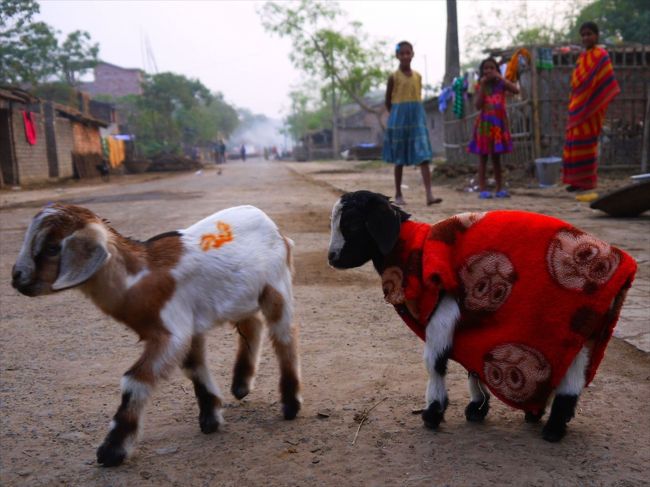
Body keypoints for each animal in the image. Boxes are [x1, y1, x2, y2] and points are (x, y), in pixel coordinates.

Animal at [12, 203, 302, 468]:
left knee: (284, 335)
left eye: (52, 248)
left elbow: (135, 380)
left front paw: (112, 451)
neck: (138, 277)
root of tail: (274, 227)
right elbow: (194, 367)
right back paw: (241, 385)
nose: (17, 279)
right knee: (253, 324)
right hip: (240, 295)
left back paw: (290, 405)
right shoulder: (189, 329)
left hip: (275, 288)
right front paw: (211, 419)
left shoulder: (172, 332)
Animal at [326, 191, 636, 442]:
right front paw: (478, 407)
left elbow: (435, 362)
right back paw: (541, 416)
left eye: (352, 225)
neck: (414, 250)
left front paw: (433, 412)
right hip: (585, 330)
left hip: (568, 323)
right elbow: (471, 364)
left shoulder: (443, 310)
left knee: (570, 378)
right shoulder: (468, 317)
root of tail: (620, 266)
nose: (332, 258)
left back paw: (553, 429)